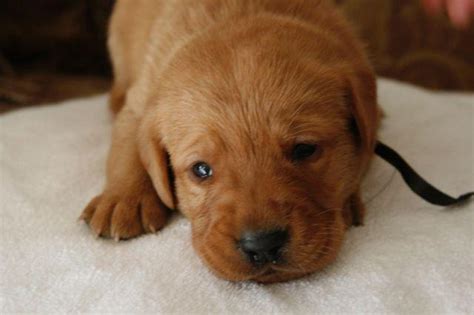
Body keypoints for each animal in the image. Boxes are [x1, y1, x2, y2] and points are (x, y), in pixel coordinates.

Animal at [80, 0, 378, 284]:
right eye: (201, 170)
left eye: (304, 150)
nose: (263, 245)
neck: (239, 13)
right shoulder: (141, 97)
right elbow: (128, 144)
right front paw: (122, 200)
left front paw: (349, 200)